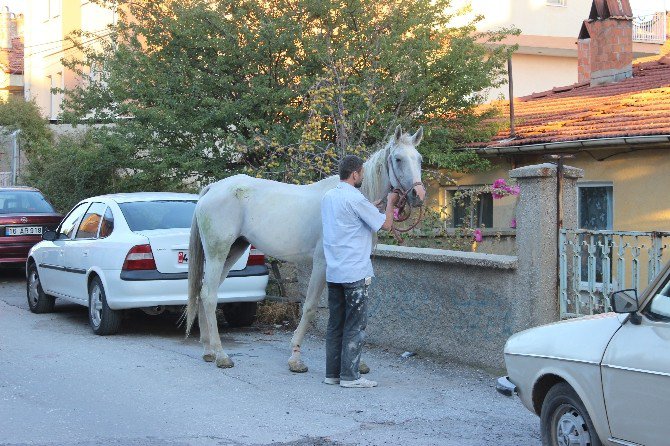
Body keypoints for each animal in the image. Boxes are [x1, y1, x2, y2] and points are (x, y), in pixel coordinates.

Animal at [185, 125, 426, 372]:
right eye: (398, 159)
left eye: (419, 159)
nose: (418, 196)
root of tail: (214, 188)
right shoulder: (321, 263)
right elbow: (310, 307)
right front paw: (295, 357)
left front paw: (357, 363)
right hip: (217, 253)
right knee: (209, 295)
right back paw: (221, 355)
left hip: (233, 251)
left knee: (204, 292)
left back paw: (208, 350)